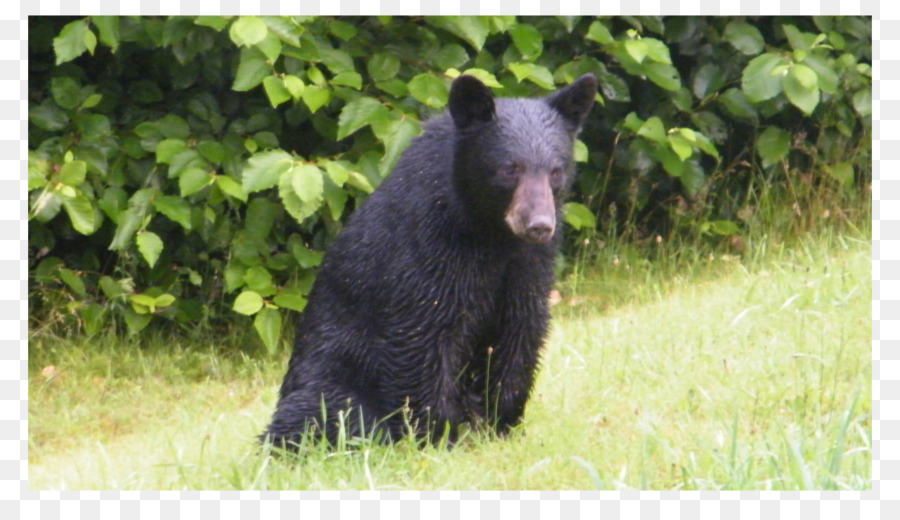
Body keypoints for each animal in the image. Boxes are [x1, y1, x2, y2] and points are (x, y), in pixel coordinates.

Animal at [262, 72, 596, 446]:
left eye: (556, 171)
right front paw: (437, 438)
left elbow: (520, 333)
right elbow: (422, 337)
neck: (490, 234)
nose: (539, 225)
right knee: (324, 411)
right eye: (510, 169)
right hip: (330, 381)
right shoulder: (429, 251)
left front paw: (502, 426)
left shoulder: (528, 266)